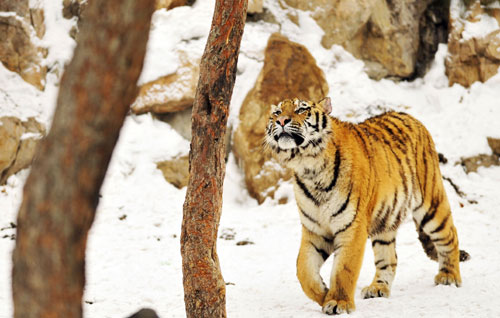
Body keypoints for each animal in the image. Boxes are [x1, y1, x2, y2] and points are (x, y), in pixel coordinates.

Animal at [264, 97, 470, 316]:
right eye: (277, 112)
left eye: (301, 109)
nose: (282, 121)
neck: (309, 167)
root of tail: (412, 117)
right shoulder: (315, 231)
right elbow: (303, 270)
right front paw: (324, 294)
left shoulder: (352, 227)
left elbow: (344, 268)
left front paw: (338, 302)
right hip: (385, 220)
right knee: (389, 257)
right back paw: (378, 288)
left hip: (431, 204)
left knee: (450, 236)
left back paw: (448, 277)